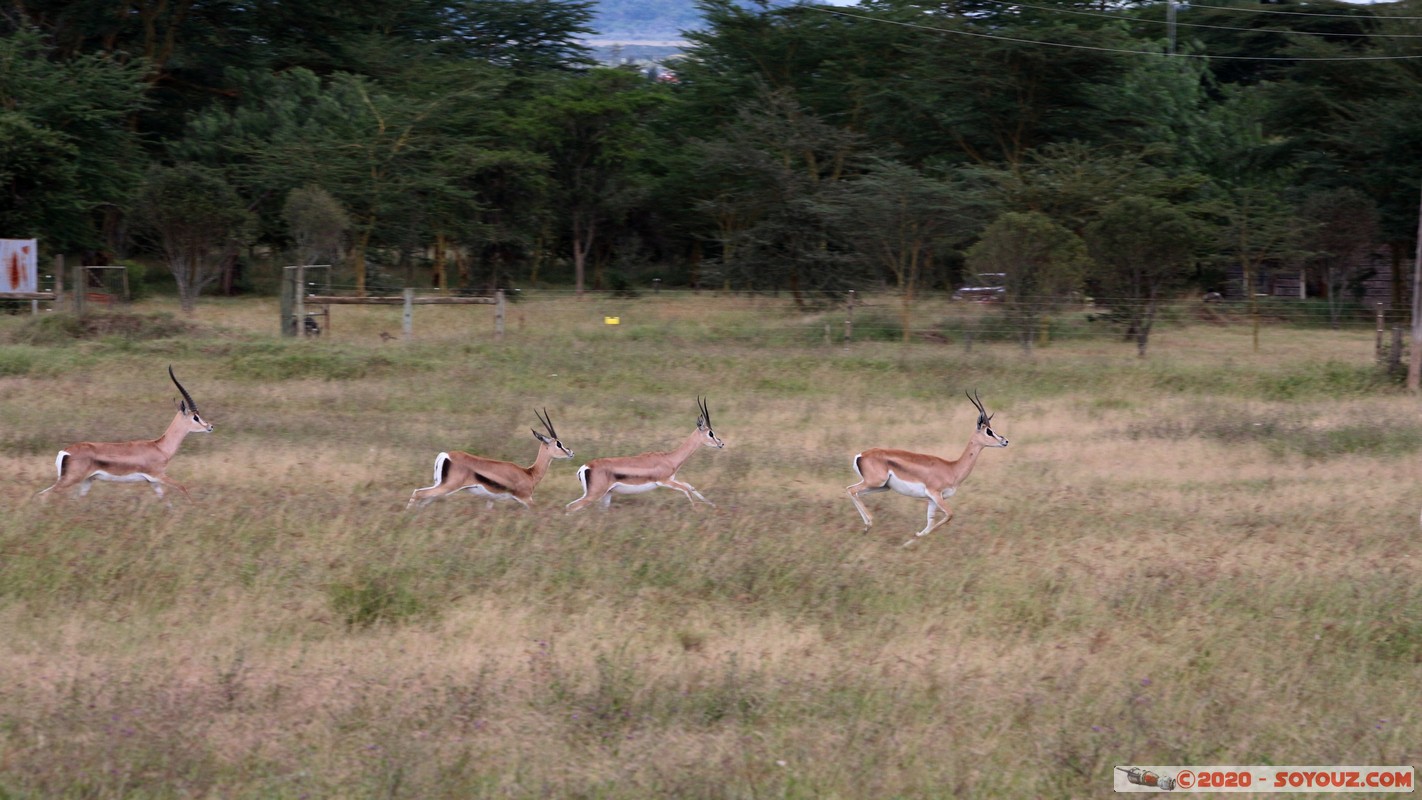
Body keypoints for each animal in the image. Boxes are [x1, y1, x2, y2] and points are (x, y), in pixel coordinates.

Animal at [37, 366, 214, 500]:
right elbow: (183, 487)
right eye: (195, 417)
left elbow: (164, 501)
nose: (210, 426)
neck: (160, 447)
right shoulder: (159, 476)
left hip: (87, 480)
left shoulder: (153, 482)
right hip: (70, 479)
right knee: (44, 495)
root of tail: (65, 451)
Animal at [406, 409, 574, 510]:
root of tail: (446, 455)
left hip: (440, 486)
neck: (529, 473)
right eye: (558, 443)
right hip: (448, 487)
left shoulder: (490, 500)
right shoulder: (526, 499)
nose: (571, 452)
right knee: (418, 493)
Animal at [566, 397, 724, 512]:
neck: (669, 458)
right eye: (711, 433)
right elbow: (686, 489)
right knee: (571, 507)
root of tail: (585, 467)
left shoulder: (673, 479)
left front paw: (713, 505)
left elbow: (690, 486)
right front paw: (697, 510)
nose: (721, 444)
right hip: (594, 494)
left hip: (606, 495)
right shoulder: (664, 481)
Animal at [846, 390, 1009, 547]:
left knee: (855, 492)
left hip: (882, 487)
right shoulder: (935, 494)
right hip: (875, 482)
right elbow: (949, 515)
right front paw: (913, 538)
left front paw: (909, 542)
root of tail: (861, 455)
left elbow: (930, 524)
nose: (1005, 441)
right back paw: (868, 526)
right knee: (851, 489)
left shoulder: (932, 500)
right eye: (989, 431)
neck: (952, 468)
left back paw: (866, 529)